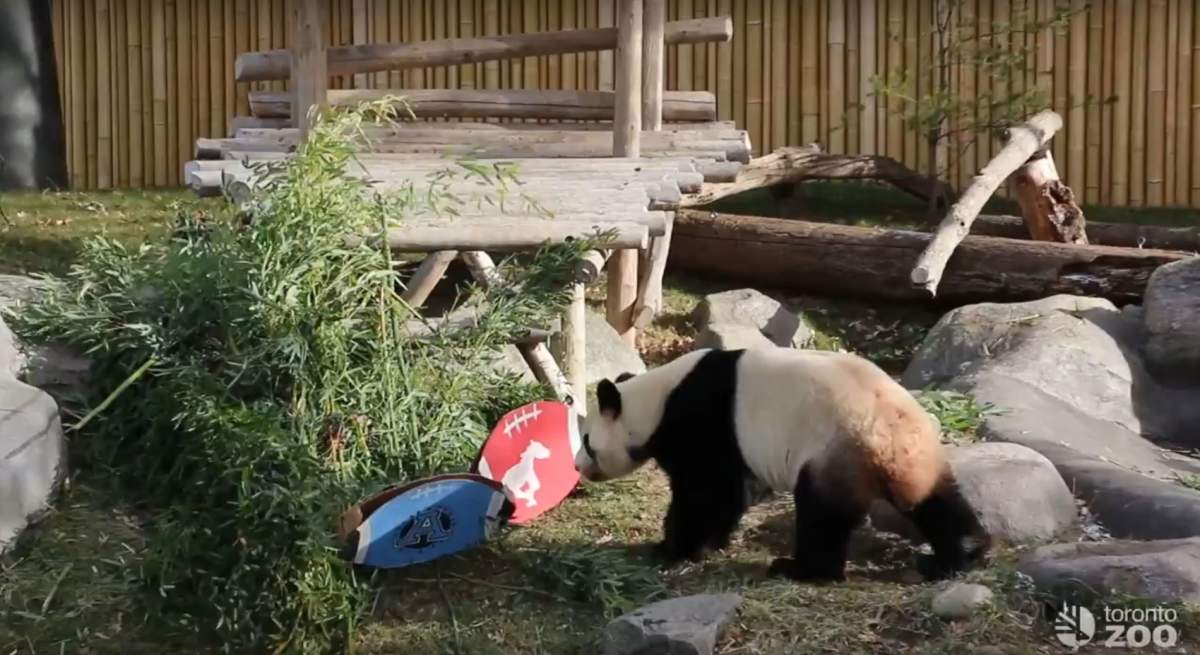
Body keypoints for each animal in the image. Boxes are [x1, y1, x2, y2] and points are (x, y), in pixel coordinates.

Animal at [574, 346, 992, 583]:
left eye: (587, 441)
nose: (578, 467)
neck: (656, 398)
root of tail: (888, 440)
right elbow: (730, 494)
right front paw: (709, 543)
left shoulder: (703, 418)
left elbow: (707, 492)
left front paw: (673, 548)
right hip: (918, 456)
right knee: (935, 502)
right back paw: (962, 554)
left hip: (834, 450)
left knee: (822, 515)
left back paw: (802, 570)